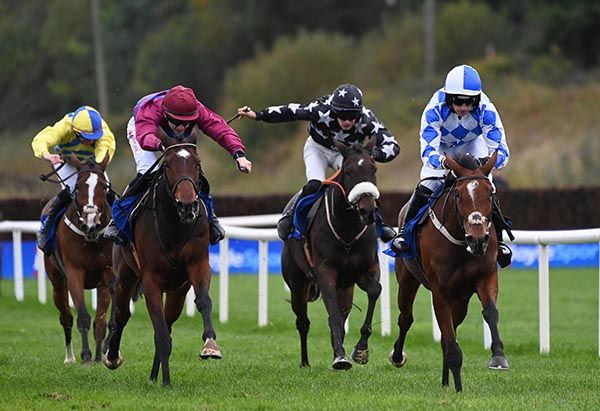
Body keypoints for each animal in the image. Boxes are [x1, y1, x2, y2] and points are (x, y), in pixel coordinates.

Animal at [44, 154, 114, 364]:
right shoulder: (74, 272)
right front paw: (86, 357)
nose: (91, 222)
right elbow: (82, 317)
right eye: (77, 187)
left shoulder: (106, 274)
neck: (90, 237)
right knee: (66, 316)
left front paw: (99, 358)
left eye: (104, 187)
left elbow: (100, 320)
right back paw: (70, 357)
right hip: (57, 281)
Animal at [280, 138, 380, 370]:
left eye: (374, 168)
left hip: (346, 287)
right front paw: (341, 358)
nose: (368, 211)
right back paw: (305, 361)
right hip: (297, 284)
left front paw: (360, 350)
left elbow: (374, 290)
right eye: (349, 171)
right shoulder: (326, 272)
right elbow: (333, 315)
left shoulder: (366, 269)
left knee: (342, 314)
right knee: (303, 322)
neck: (348, 231)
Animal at [386, 152, 508, 392]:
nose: (478, 239)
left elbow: (490, 312)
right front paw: (458, 387)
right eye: (458, 194)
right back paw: (398, 356)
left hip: (461, 298)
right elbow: (448, 336)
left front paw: (498, 357)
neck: (461, 243)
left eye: (490, 193)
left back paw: (445, 380)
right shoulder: (439, 289)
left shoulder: (486, 276)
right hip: (407, 280)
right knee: (406, 318)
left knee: (448, 330)